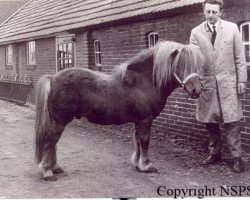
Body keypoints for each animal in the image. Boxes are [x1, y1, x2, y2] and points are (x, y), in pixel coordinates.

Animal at [35, 41, 204, 181]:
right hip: (60, 121)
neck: (143, 82)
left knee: (53, 142)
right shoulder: (145, 120)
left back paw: (55, 168)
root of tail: (52, 79)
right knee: (50, 141)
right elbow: (145, 141)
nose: (196, 90)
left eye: (196, 65)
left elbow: (137, 141)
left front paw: (137, 164)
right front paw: (147, 165)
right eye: (180, 65)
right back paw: (47, 172)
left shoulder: (138, 121)